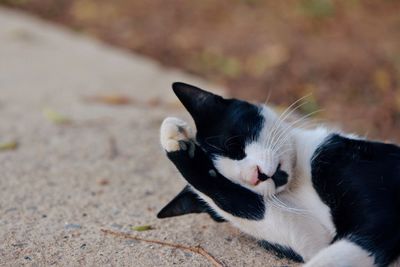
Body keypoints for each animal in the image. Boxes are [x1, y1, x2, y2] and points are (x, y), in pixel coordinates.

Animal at [156, 82, 400, 266]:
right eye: (234, 181)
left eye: (234, 146)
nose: (256, 176)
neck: (299, 180)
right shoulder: (315, 238)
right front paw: (175, 142)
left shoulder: (380, 217)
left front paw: (174, 139)